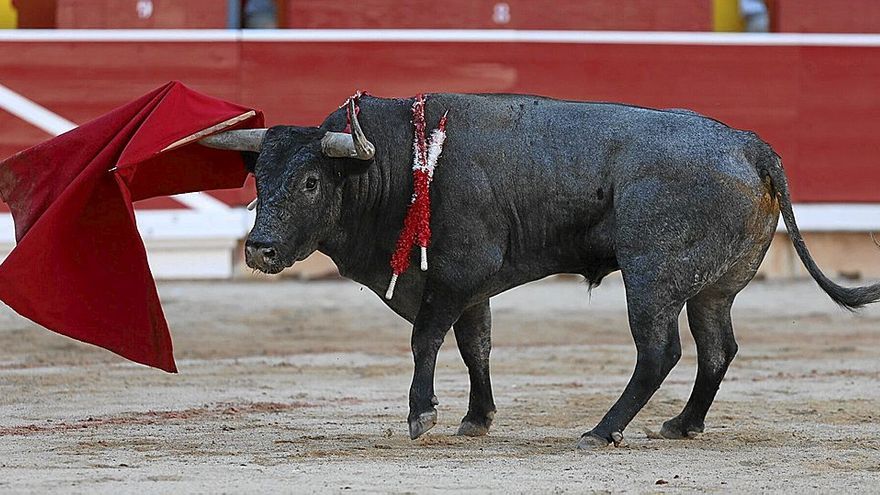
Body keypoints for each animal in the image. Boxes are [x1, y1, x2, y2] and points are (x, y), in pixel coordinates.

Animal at [199, 94, 880, 450]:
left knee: (659, 351)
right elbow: (475, 346)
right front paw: (477, 418)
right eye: (258, 180)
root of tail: (749, 144)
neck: (398, 164)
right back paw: (682, 425)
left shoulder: (453, 275)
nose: (258, 249)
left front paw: (422, 415)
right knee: (717, 349)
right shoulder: (471, 286)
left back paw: (603, 430)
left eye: (312, 182)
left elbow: (425, 339)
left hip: (652, 279)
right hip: (714, 288)